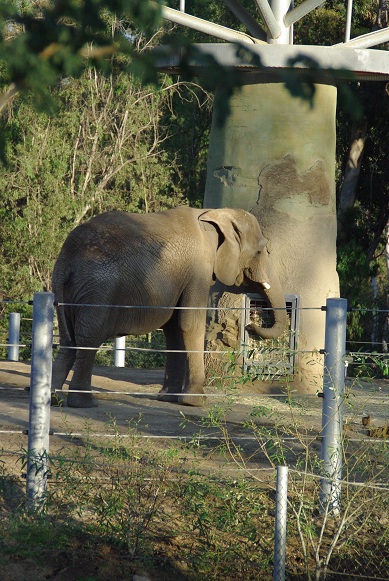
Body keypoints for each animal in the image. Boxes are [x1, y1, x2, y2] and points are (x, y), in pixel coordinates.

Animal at [50, 206, 288, 406]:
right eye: (260, 251)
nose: (249, 326)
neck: (215, 214)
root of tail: (65, 260)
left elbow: (174, 329)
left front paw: (168, 398)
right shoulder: (198, 270)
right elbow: (190, 323)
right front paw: (196, 402)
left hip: (67, 291)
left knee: (68, 341)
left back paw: (53, 399)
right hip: (98, 288)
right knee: (88, 340)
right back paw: (83, 403)